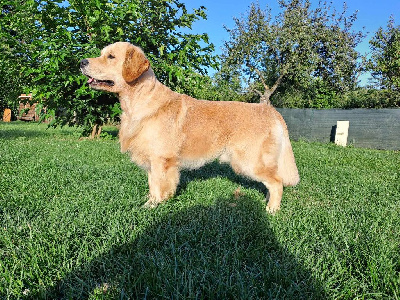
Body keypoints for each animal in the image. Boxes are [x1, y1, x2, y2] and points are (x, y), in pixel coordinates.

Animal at [81, 41, 298, 213]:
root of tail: (270, 110)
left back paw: (272, 210)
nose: (82, 62)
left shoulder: (161, 159)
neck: (138, 100)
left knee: (277, 182)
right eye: (102, 53)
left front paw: (154, 205)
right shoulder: (151, 159)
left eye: (110, 56)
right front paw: (149, 202)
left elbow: (159, 185)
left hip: (249, 161)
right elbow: (152, 185)